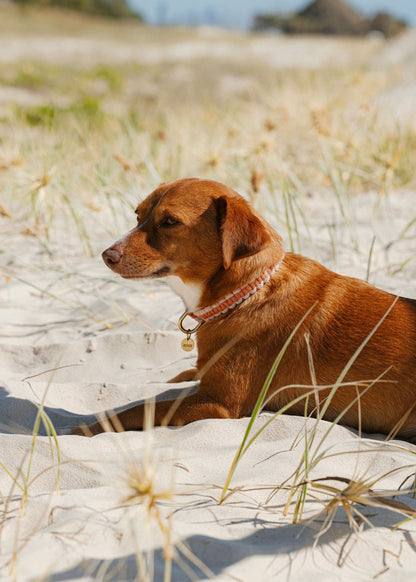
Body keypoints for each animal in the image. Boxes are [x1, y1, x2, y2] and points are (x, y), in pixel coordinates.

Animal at [73, 180, 416, 440]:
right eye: (137, 215)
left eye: (170, 221)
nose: (107, 255)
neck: (242, 294)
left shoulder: (221, 404)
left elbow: (140, 408)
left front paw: (87, 427)